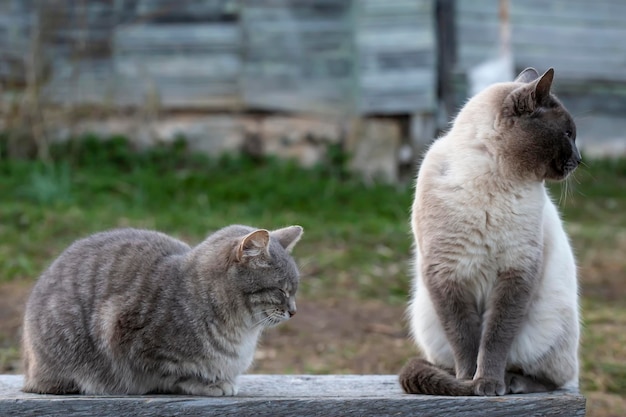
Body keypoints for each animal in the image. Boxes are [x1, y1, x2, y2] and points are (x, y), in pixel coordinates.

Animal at [25, 223, 304, 394]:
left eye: (294, 290)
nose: (294, 311)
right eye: (281, 290)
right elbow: (175, 375)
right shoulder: (130, 339)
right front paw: (209, 384)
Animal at [400, 67, 580, 394]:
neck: (493, 178)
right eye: (567, 134)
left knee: (555, 380)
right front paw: (468, 382)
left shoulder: (516, 273)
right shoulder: (446, 274)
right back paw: (457, 379)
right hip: (427, 319)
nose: (579, 159)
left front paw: (487, 383)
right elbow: (464, 338)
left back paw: (513, 383)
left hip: (548, 326)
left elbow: (496, 337)